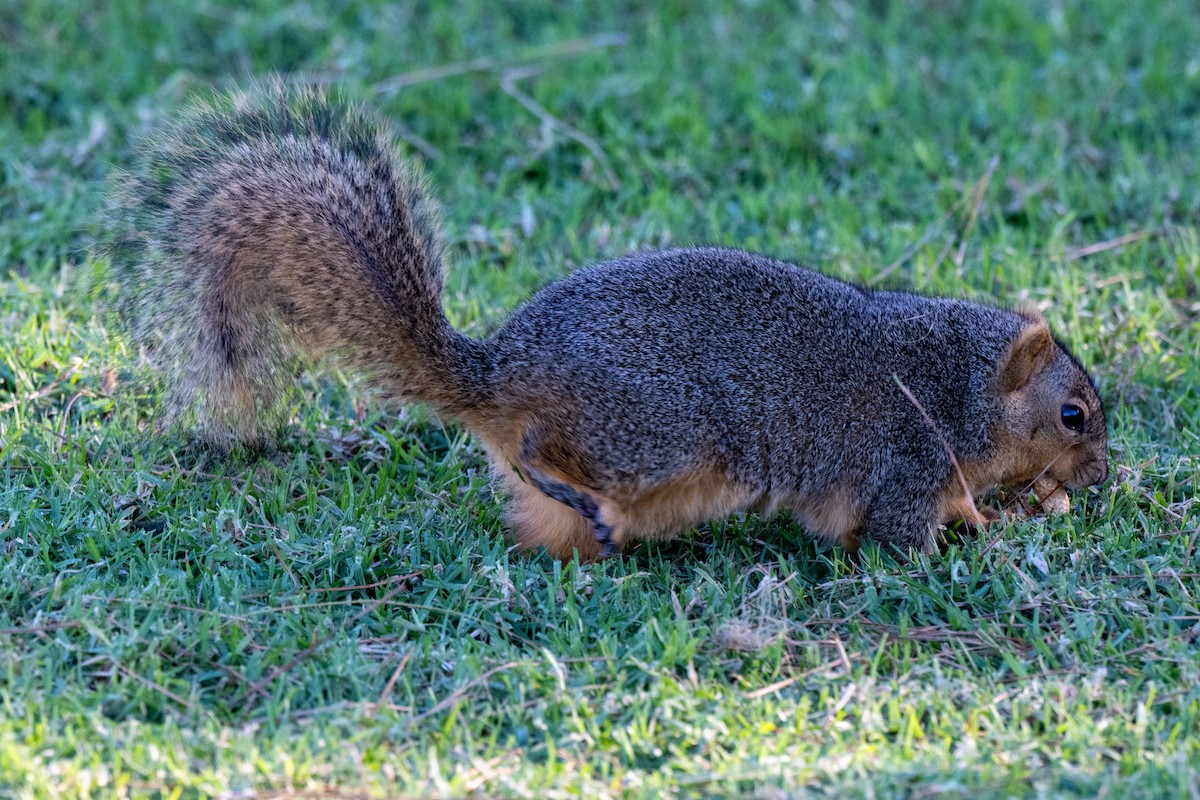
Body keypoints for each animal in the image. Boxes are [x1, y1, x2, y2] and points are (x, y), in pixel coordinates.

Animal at [108, 81, 1109, 562]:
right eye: (1073, 416)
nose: (1101, 478)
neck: (958, 381)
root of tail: (500, 372)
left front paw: (1002, 513)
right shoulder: (903, 461)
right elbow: (903, 539)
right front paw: (996, 535)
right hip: (660, 430)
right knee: (539, 448)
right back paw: (562, 481)